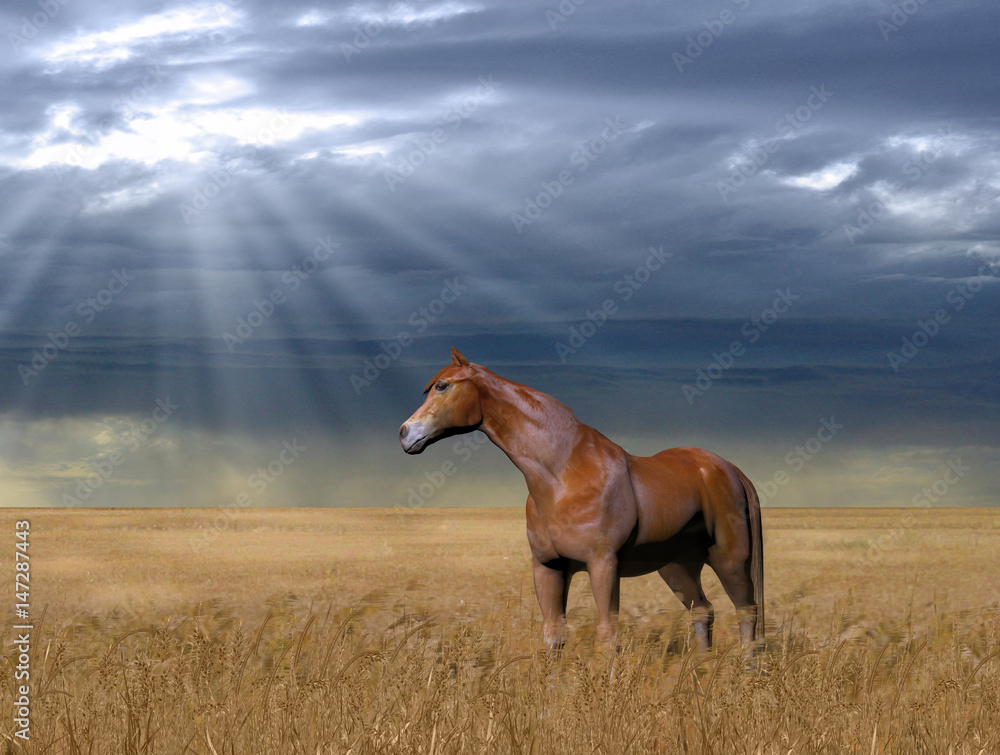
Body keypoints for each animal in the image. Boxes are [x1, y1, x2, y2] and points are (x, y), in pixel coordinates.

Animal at [399, 348, 763, 652]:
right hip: (677, 566)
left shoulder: (603, 565)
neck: (562, 474)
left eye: (442, 386)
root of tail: (728, 469)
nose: (405, 433)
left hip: (728, 558)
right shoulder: (549, 567)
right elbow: (554, 635)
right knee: (703, 611)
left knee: (746, 610)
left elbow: (608, 633)